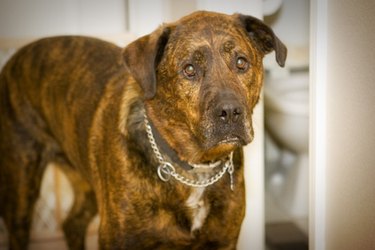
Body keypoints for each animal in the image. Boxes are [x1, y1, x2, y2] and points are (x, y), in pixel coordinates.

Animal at [0, 10, 286, 249]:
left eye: (241, 62)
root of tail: (14, 59)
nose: (230, 112)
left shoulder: (223, 240)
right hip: (22, 189)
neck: (193, 169)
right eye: (189, 69)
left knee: (72, 223)